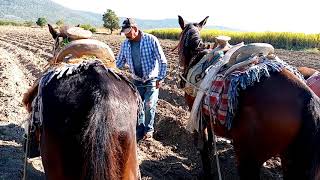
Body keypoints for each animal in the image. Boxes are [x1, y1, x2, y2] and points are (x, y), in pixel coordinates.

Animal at [176, 15, 320, 180]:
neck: (198, 57)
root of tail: (308, 99)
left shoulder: (198, 118)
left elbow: (203, 148)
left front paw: (206, 173)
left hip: (248, 158)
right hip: (290, 161)